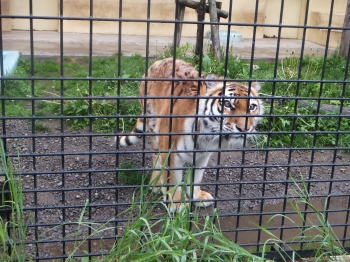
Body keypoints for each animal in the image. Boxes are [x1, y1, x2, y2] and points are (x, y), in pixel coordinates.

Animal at [119, 57, 264, 211]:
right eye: (227, 104)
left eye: (252, 107)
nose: (244, 128)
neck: (207, 135)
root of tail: (162, 60)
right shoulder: (170, 151)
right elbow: (172, 178)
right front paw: (177, 203)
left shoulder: (203, 155)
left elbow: (196, 177)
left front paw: (197, 196)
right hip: (153, 127)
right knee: (155, 156)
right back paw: (156, 184)